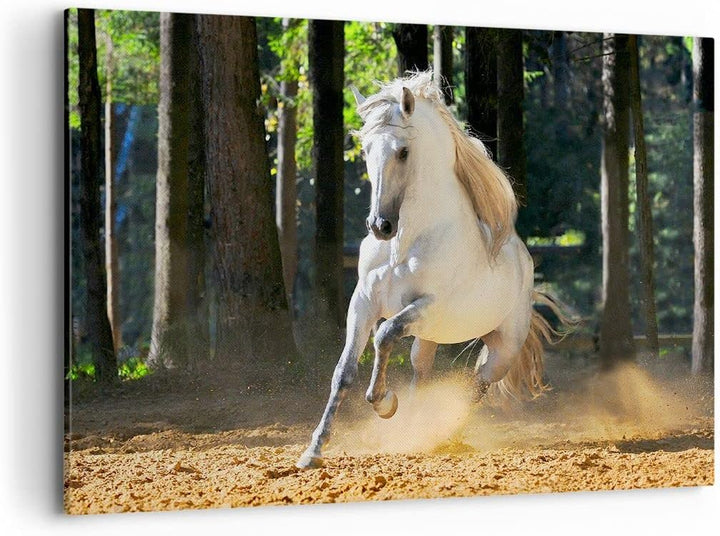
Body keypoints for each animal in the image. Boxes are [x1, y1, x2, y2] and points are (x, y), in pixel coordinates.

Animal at [297, 71, 567, 469]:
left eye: (403, 151)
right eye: (366, 150)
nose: (380, 226)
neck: (405, 244)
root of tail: (526, 267)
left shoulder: (426, 306)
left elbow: (384, 336)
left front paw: (383, 403)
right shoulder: (362, 304)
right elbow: (344, 371)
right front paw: (314, 450)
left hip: (502, 349)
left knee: (476, 385)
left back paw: (442, 434)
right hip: (429, 337)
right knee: (421, 372)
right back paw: (413, 430)